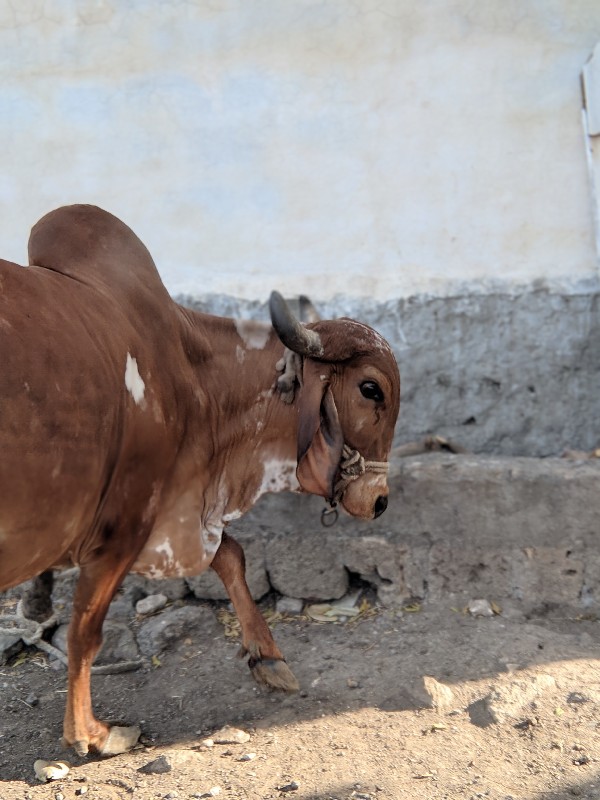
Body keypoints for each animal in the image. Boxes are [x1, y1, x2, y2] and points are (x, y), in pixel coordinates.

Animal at [2, 205, 400, 756]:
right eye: (370, 389)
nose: (379, 500)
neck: (195, 379)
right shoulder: (125, 523)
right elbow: (86, 628)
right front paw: (91, 735)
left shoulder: (181, 510)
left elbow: (230, 555)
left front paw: (267, 657)